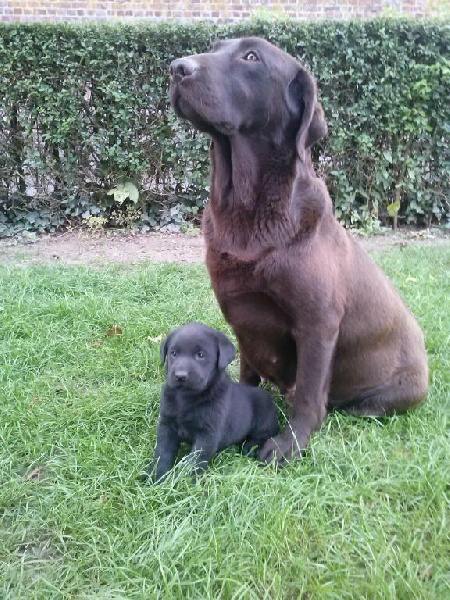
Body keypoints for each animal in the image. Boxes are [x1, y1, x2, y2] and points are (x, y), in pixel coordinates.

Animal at [144, 322, 278, 480]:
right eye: (174, 353)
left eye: (200, 355)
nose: (180, 376)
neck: (186, 398)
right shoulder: (167, 424)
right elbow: (162, 452)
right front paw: (155, 476)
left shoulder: (207, 434)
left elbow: (195, 461)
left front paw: (185, 482)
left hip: (264, 415)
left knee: (266, 434)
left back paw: (251, 447)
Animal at [167, 37, 428, 464]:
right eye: (215, 46)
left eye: (251, 56)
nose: (177, 67)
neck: (248, 210)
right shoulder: (242, 317)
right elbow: (247, 370)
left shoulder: (317, 323)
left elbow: (308, 390)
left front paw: (290, 444)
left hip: (400, 391)